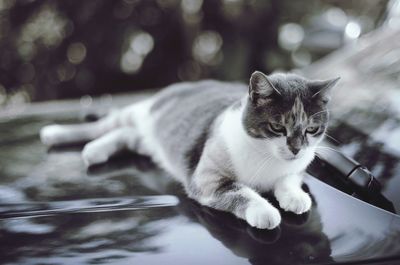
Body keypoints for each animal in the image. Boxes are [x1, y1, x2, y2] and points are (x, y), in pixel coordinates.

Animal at [40, 71, 340, 228]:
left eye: (311, 129)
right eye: (277, 127)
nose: (296, 149)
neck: (266, 158)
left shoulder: (297, 168)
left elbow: (288, 180)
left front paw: (295, 198)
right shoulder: (207, 180)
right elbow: (241, 193)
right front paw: (264, 212)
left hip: (146, 141)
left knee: (126, 134)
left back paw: (96, 151)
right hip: (140, 113)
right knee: (107, 123)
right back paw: (56, 134)